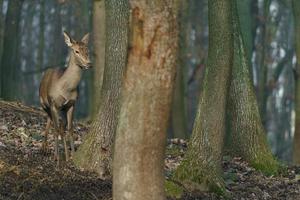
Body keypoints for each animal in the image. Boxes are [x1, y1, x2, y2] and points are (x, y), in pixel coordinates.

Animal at [39, 31, 92, 166]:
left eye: (87, 50)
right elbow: (56, 129)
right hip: (44, 103)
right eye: (76, 51)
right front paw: (56, 158)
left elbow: (70, 129)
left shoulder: (71, 104)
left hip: (61, 109)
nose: (89, 63)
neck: (66, 89)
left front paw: (72, 156)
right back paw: (44, 149)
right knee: (51, 123)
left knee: (59, 126)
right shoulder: (53, 103)